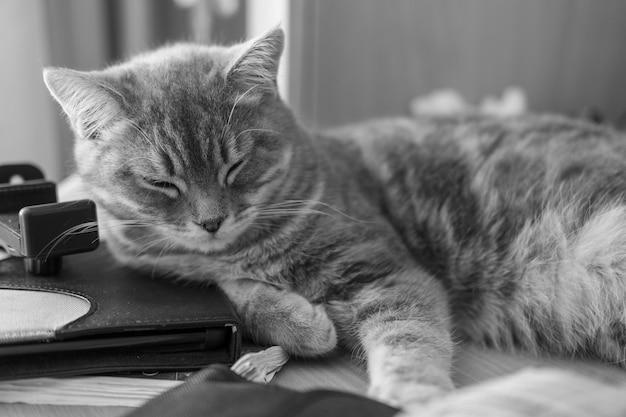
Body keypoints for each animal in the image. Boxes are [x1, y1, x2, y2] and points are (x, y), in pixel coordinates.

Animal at [42, 29, 624, 412]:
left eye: (235, 165)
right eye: (162, 183)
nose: (212, 221)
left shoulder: (391, 274)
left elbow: (409, 338)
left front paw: (415, 394)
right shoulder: (167, 265)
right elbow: (228, 289)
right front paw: (302, 322)